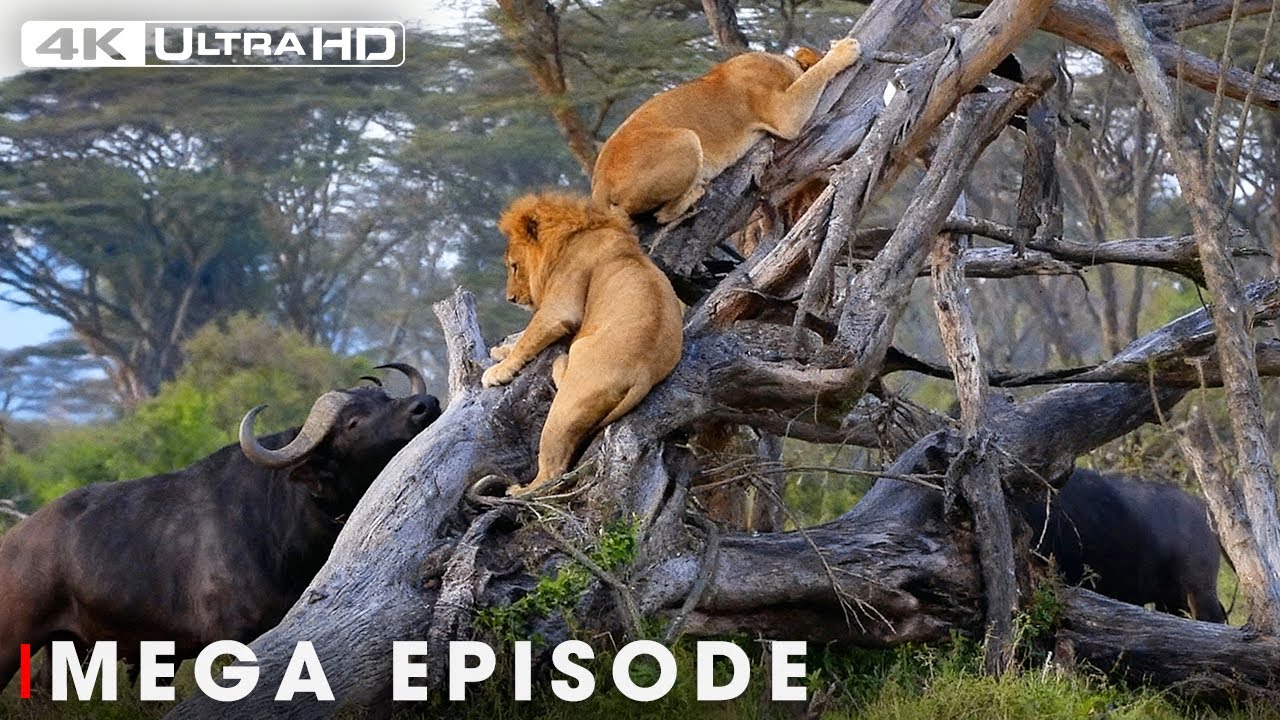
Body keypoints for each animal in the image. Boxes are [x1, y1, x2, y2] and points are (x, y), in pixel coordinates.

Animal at [0, 364, 441, 690]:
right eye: (352, 422)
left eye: (386, 399)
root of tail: (13, 540)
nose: (425, 404)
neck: (278, 524)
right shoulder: (231, 640)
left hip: (72, 650)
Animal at [481, 192, 684, 495]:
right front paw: (500, 351)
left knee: (551, 473)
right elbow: (525, 337)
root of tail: (644, 374)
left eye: (514, 266)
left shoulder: (560, 307)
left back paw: (519, 490)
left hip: (565, 406)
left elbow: (531, 335)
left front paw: (499, 371)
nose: (511, 299)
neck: (573, 236)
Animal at [591, 38, 861, 224]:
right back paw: (695, 191)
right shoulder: (783, 114)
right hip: (686, 138)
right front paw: (845, 49)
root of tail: (598, 183)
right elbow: (816, 73)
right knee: (660, 215)